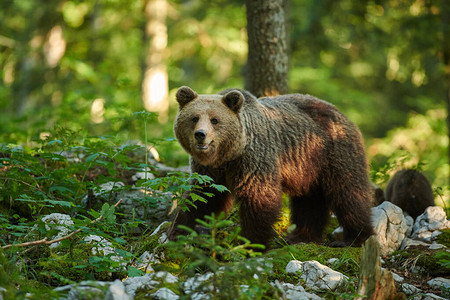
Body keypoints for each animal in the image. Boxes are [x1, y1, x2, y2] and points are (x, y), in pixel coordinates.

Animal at [169, 85, 372, 247]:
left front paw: (252, 244)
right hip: (308, 167)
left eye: (214, 120)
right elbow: (201, 196)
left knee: (348, 193)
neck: (229, 154)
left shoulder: (254, 159)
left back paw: (354, 238)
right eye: (194, 118)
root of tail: (342, 114)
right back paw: (300, 236)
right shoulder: (209, 170)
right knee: (309, 201)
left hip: (334, 153)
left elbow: (258, 197)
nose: (200, 135)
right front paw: (177, 231)